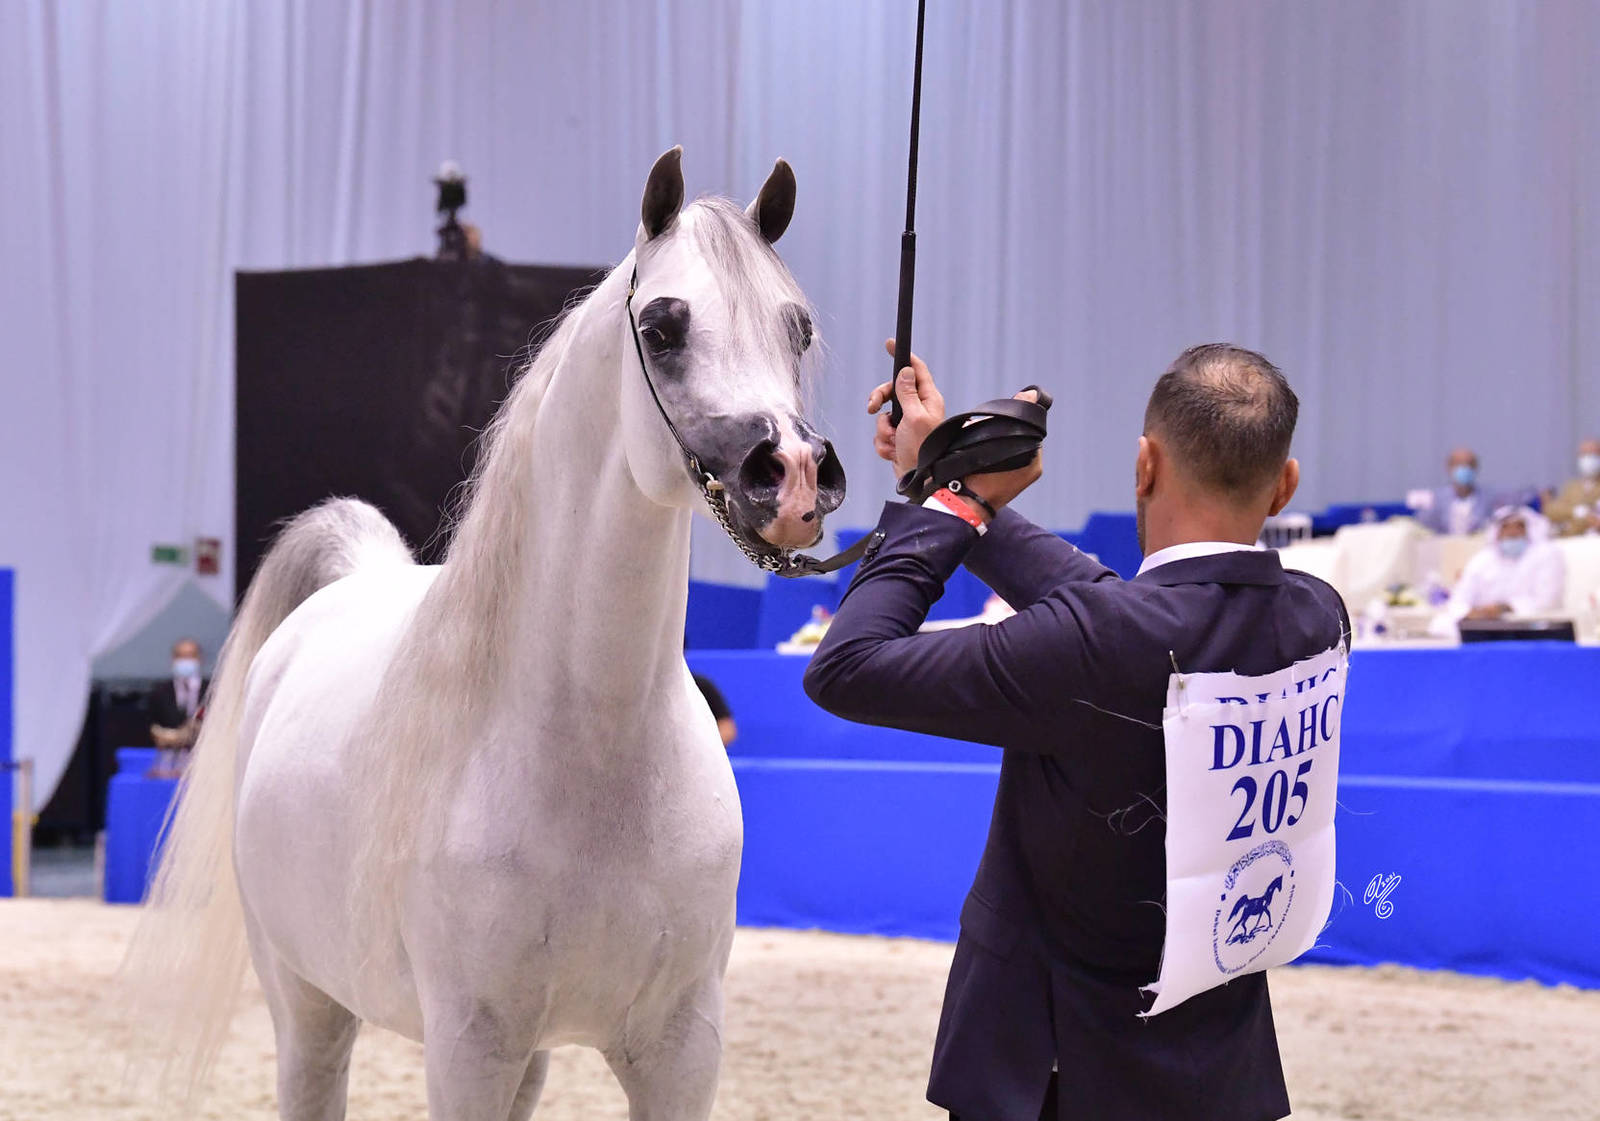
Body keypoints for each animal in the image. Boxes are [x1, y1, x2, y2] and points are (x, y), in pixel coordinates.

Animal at [118, 146, 846, 1121]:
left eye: (796, 330)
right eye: (663, 327)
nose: (796, 477)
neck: (598, 749)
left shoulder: (681, 1048)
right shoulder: (469, 1047)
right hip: (309, 1004)